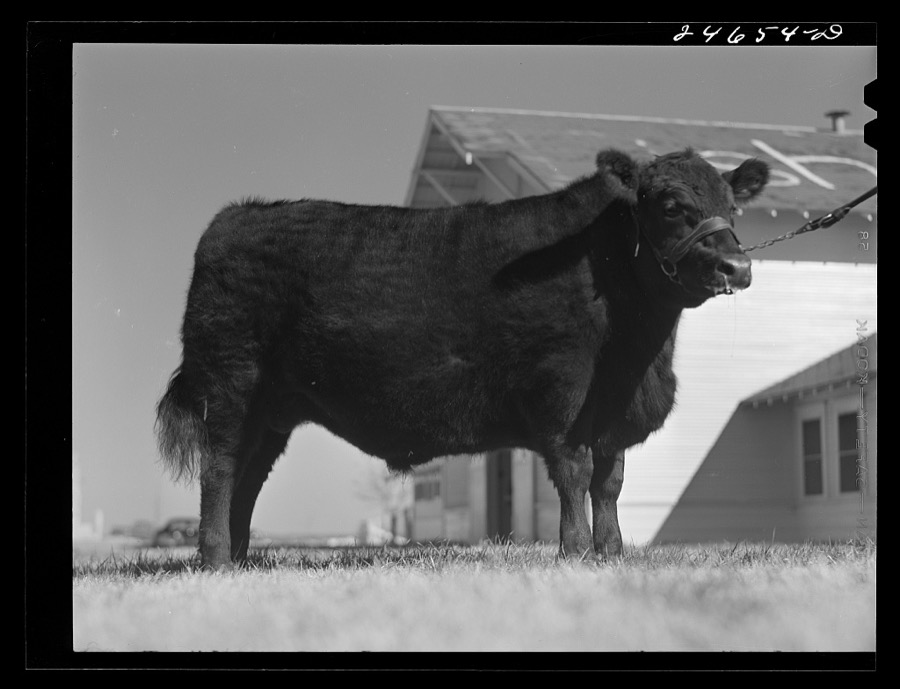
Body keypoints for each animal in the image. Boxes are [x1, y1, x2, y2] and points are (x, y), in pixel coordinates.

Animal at [155, 148, 769, 569]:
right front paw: (574, 552)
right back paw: (214, 559)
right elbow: (574, 472)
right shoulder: (563, 391)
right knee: (221, 469)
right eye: (671, 206)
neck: (639, 354)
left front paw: (611, 553)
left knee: (249, 475)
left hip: (273, 410)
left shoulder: (614, 409)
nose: (737, 267)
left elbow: (610, 481)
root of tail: (236, 218)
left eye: (732, 207)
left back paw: (239, 558)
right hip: (230, 388)